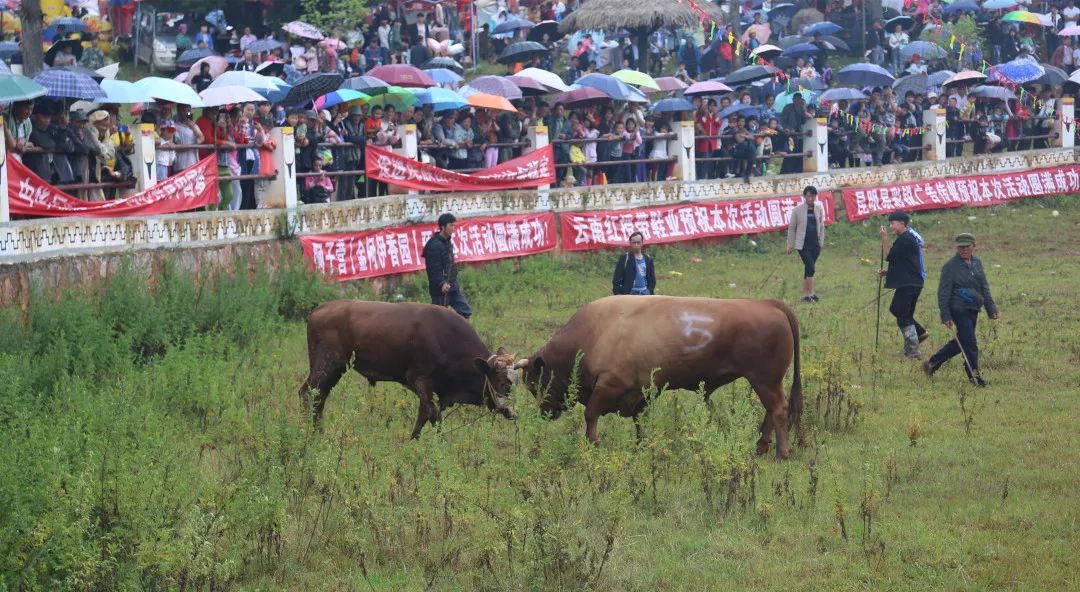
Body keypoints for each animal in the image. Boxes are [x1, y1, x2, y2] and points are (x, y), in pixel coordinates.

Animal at [295, 300, 514, 438]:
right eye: (503, 383)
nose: (511, 413)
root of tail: (317, 311)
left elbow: (429, 413)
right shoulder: (421, 380)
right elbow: (429, 413)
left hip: (335, 370)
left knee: (319, 397)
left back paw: (319, 432)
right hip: (325, 365)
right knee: (307, 393)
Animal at [514, 296, 803, 458]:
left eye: (534, 383)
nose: (545, 412)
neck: (593, 333)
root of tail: (767, 304)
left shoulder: (608, 386)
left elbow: (591, 415)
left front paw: (593, 443)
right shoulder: (640, 394)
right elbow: (639, 422)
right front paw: (641, 447)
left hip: (764, 381)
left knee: (779, 411)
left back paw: (781, 453)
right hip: (766, 382)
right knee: (770, 412)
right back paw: (760, 448)